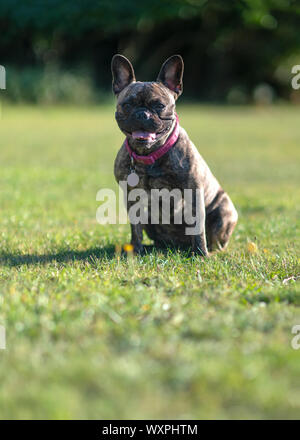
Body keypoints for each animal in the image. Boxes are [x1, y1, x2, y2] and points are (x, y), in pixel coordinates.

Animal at [111, 54, 238, 254]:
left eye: (159, 105)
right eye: (128, 104)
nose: (142, 114)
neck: (150, 154)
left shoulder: (194, 193)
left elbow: (198, 228)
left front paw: (201, 255)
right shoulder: (132, 197)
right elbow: (135, 228)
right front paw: (136, 250)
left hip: (224, 211)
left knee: (214, 238)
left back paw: (209, 251)